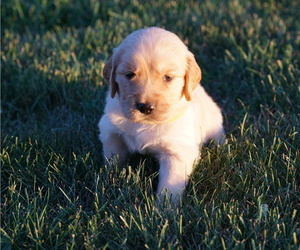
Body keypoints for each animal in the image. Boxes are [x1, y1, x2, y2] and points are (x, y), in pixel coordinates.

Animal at [99, 26, 224, 203]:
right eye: (129, 75)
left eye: (168, 77)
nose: (145, 107)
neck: (146, 124)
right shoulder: (111, 132)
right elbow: (113, 158)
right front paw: (110, 179)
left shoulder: (178, 152)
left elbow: (170, 185)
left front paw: (164, 207)